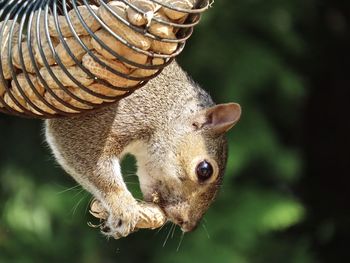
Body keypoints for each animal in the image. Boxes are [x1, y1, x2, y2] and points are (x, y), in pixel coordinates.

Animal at [44, 61, 241, 239]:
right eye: (205, 170)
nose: (188, 225)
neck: (165, 111)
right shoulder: (108, 119)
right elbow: (91, 159)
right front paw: (123, 206)